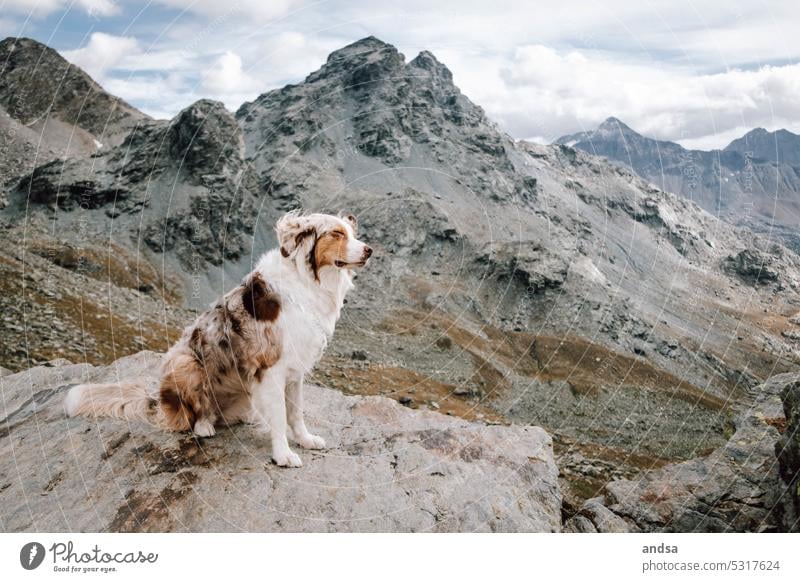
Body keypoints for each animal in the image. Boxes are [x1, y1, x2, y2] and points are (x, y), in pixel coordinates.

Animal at [65, 212, 372, 468]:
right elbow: (280, 415)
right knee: (195, 413)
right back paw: (204, 426)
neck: (308, 281)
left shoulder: (295, 368)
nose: (369, 250)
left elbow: (295, 412)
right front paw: (283, 455)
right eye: (336, 233)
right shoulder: (271, 366)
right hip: (185, 362)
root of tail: (158, 402)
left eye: (352, 232)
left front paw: (306, 440)